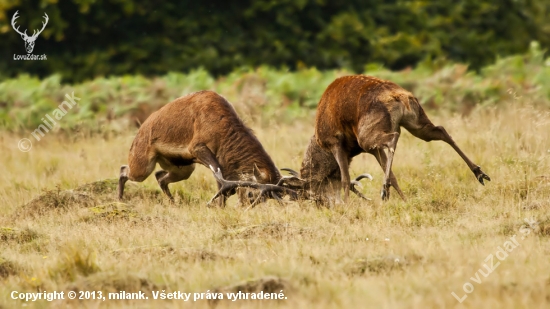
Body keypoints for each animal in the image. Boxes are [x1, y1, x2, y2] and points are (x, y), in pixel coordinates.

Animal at [117, 90, 298, 206]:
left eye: (265, 199)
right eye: (250, 193)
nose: (243, 207)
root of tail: (140, 129)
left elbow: (223, 184)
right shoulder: (196, 147)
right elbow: (219, 178)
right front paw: (216, 205)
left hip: (183, 167)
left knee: (160, 176)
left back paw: (173, 203)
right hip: (142, 164)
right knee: (124, 169)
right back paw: (119, 200)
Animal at [308, 74, 494, 200]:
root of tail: (401, 97)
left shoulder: (336, 143)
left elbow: (345, 179)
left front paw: (346, 206)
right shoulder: (371, 151)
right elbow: (392, 175)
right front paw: (405, 201)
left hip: (366, 134)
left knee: (393, 137)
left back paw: (384, 189)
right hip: (416, 122)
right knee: (440, 130)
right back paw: (480, 173)